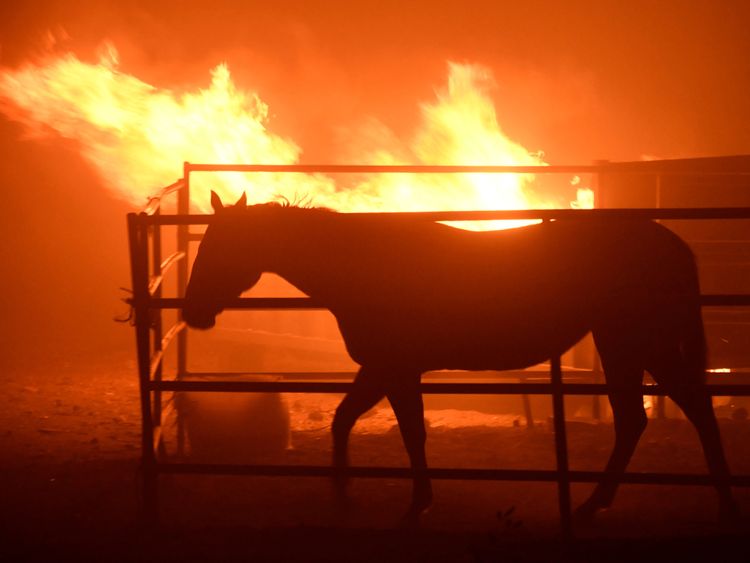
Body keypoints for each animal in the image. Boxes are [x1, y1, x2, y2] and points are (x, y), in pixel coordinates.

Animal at [184, 193, 740, 524]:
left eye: (219, 247)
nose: (191, 311)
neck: (365, 264)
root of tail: (667, 239)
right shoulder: (382, 367)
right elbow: (345, 420)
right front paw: (344, 493)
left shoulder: (395, 367)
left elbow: (410, 432)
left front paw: (415, 503)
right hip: (630, 344)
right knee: (653, 415)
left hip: (634, 341)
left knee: (670, 411)